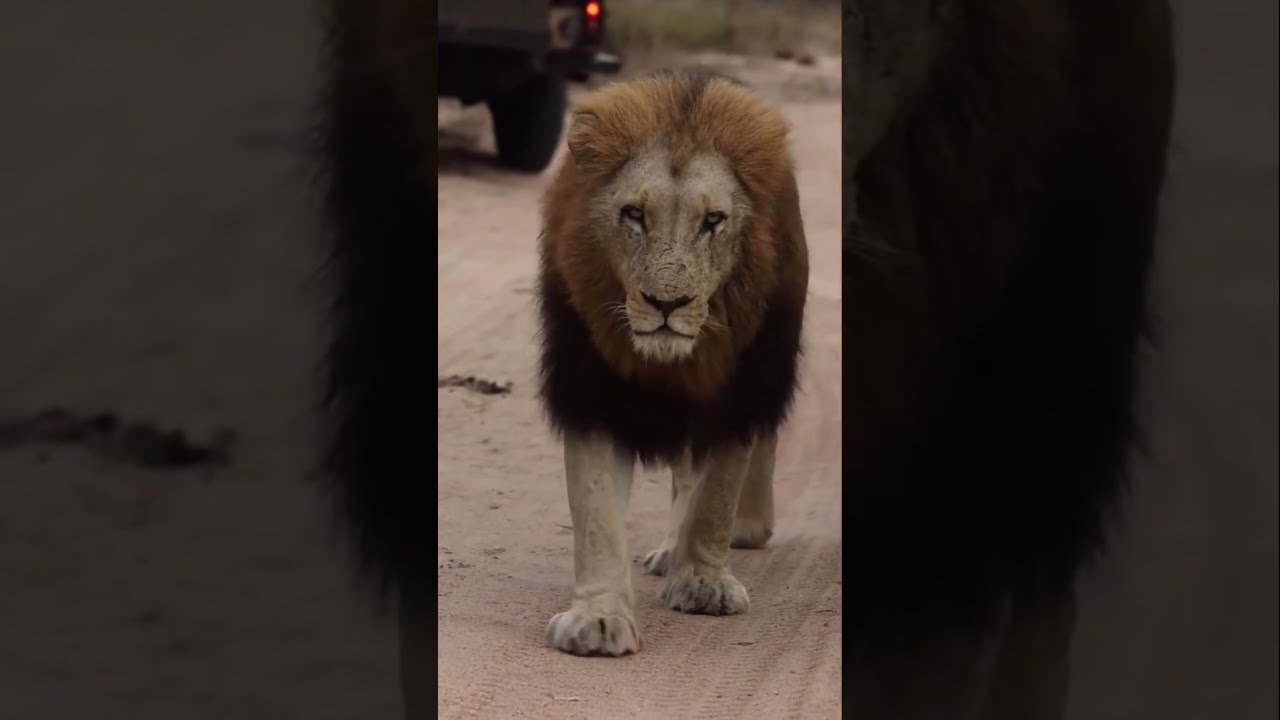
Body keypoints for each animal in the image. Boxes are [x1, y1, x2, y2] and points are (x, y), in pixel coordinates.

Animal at [536, 70, 809, 656]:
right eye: (634, 215)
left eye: (713, 221)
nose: (667, 303)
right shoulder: (593, 390)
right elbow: (595, 513)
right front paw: (599, 618)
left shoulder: (739, 393)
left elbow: (716, 496)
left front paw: (704, 583)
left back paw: (742, 529)